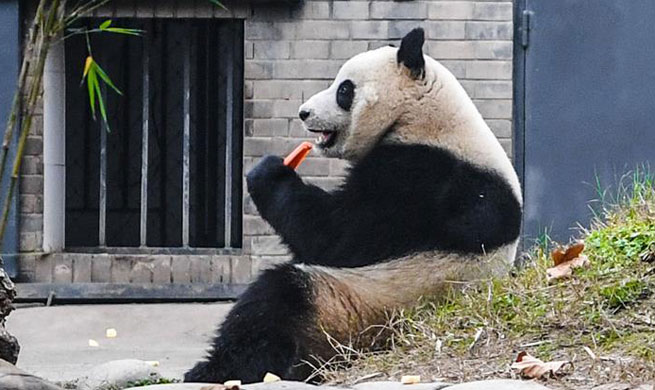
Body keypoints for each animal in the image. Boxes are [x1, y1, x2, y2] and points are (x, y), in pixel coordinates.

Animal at [184, 28, 524, 384]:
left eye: (344, 89)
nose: (304, 112)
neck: (423, 115)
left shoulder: (425, 176)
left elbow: (337, 236)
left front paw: (268, 172)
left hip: (357, 308)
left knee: (275, 299)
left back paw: (217, 368)